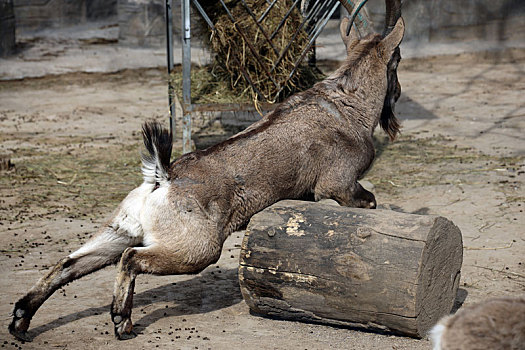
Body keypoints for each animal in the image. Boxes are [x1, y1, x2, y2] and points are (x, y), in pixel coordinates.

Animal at [9, 0, 406, 340]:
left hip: (121, 229)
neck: (347, 103)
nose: (398, 93)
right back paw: (121, 319)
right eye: (397, 60)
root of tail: (162, 178)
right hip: (197, 248)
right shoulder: (339, 184)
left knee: (69, 263)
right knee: (131, 258)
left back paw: (21, 319)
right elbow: (368, 202)